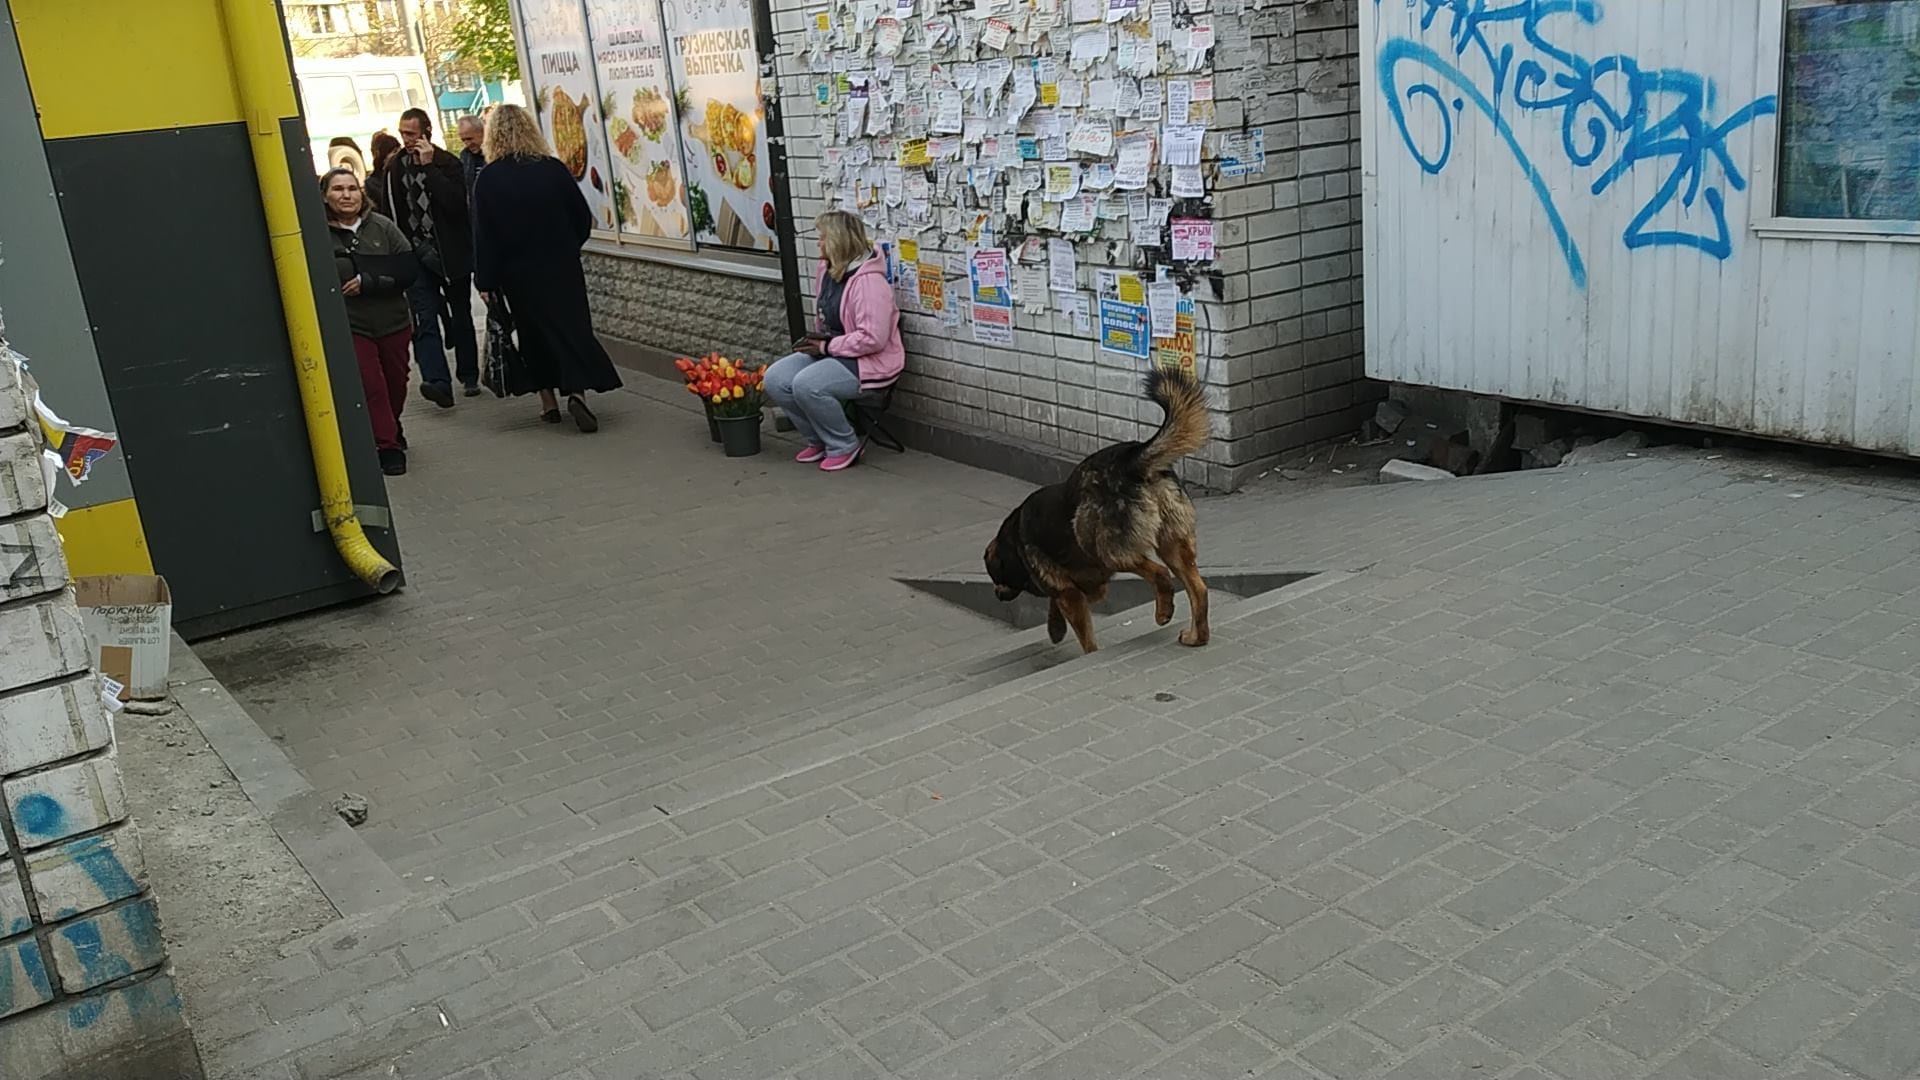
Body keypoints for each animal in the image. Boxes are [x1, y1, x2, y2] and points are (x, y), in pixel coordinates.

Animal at [983, 361, 1205, 653]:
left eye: (995, 575)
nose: (997, 595)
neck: (1013, 539)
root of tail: (1132, 460)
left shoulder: (1069, 592)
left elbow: (1084, 634)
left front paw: (1084, 649)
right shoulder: (1083, 589)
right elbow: (1063, 601)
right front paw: (1055, 628)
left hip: (1103, 545)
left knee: (1160, 573)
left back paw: (1163, 611)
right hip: (1173, 543)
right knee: (1199, 590)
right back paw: (1196, 637)